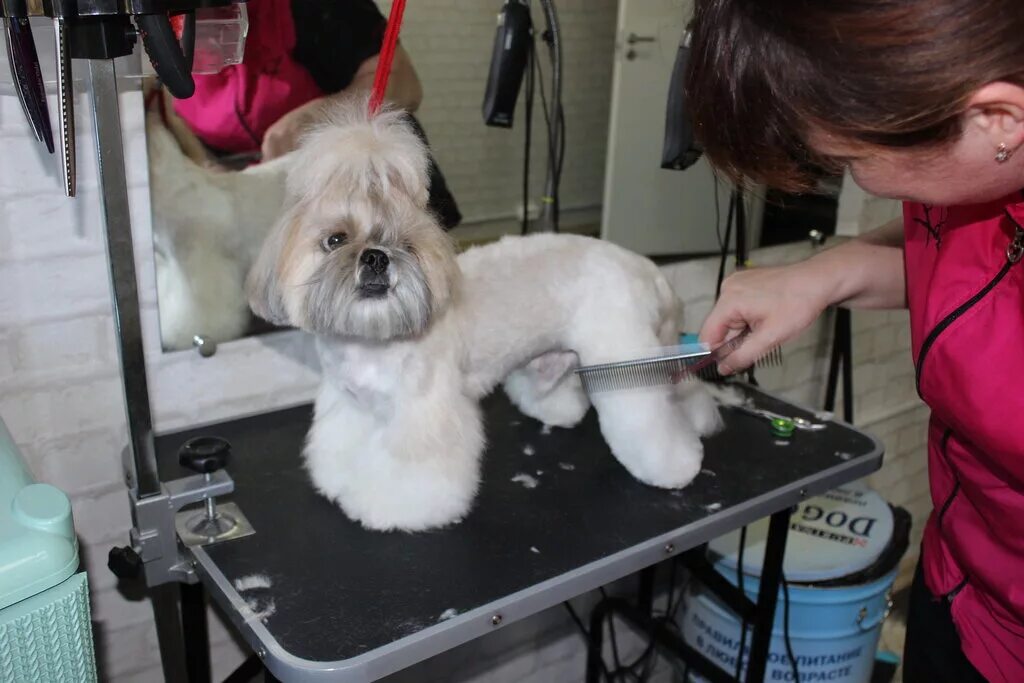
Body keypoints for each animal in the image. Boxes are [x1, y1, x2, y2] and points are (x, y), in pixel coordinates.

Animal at [246, 98, 724, 532]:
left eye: (405, 244)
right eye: (335, 240)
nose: (377, 258)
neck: (372, 343)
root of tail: (646, 268)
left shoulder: (425, 417)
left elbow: (413, 475)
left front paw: (389, 509)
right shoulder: (351, 406)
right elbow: (341, 447)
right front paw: (340, 482)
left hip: (628, 364)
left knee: (655, 415)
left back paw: (677, 464)